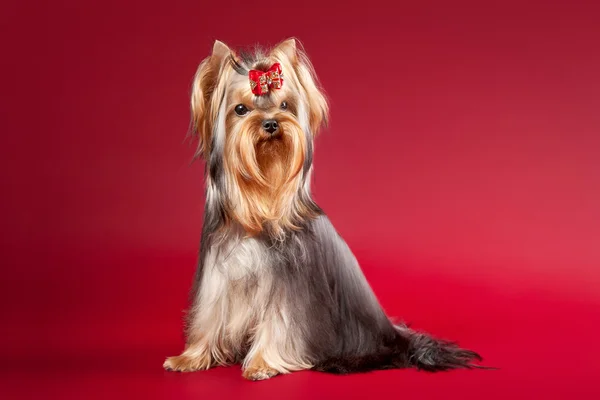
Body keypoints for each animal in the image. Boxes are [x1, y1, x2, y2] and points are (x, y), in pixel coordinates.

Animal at [164, 38, 482, 382]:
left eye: (285, 106)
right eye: (240, 109)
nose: (272, 123)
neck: (258, 212)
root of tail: (394, 336)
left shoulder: (289, 290)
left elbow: (280, 323)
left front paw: (262, 364)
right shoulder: (217, 277)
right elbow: (209, 319)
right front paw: (190, 358)